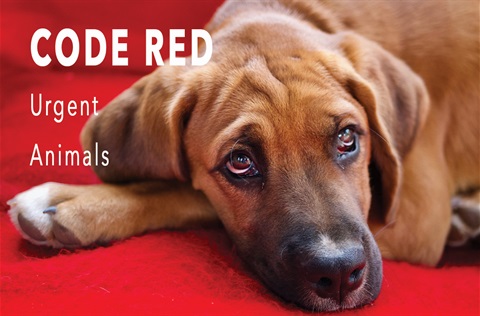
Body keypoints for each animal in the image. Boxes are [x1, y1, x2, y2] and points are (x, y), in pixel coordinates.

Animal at [7, 0, 480, 312]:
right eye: (240, 162)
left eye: (348, 138)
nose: (338, 276)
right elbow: (188, 188)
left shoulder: (417, 214)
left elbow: (185, 192)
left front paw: (77, 202)